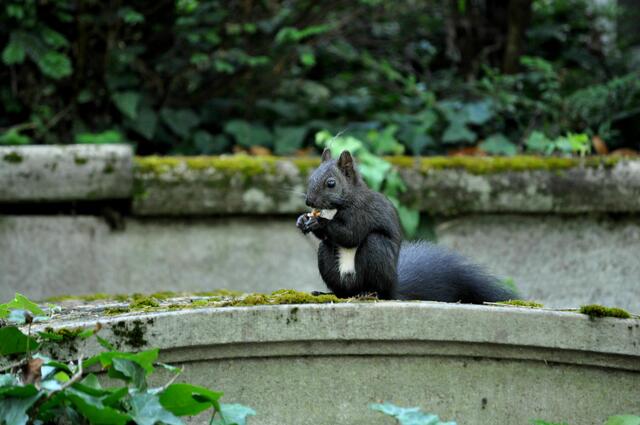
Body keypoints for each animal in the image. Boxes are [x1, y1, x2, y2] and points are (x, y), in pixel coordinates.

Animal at [296, 148, 518, 303]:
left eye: (331, 183)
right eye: (311, 178)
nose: (309, 201)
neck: (337, 208)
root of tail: (394, 286)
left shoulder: (364, 213)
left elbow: (350, 234)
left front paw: (319, 223)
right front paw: (302, 220)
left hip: (377, 251)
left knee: (378, 286)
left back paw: (371, 293)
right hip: (327, 259)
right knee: (341, 288)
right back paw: (325, 293)